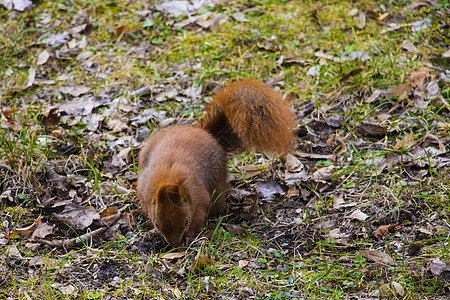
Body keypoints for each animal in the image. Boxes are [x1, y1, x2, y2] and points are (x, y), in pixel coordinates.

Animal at [137, 78, 298, 245]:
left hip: (218, 180)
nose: (174, 244)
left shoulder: (199, 199)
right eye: (157, 223)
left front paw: (188, 237)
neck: (169, 178)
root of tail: (206, 133)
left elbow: (199, 217)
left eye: (186, 221)